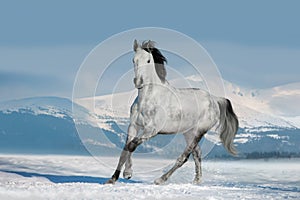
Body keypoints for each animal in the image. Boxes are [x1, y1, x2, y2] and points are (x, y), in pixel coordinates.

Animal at [106, 39, 238, 185]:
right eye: (133, 60)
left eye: (148, 61)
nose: (138, 82)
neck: (148, 100)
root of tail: (214, 99)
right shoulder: (133, 126)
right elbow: (125, 149)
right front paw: (113, 178)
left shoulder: (152, 130)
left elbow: (131, 145)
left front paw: (128, 173)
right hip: (188, 132)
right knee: (197, 154)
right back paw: (196, 181)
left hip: (199, 131)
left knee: (184, 157)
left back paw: (161, 179)